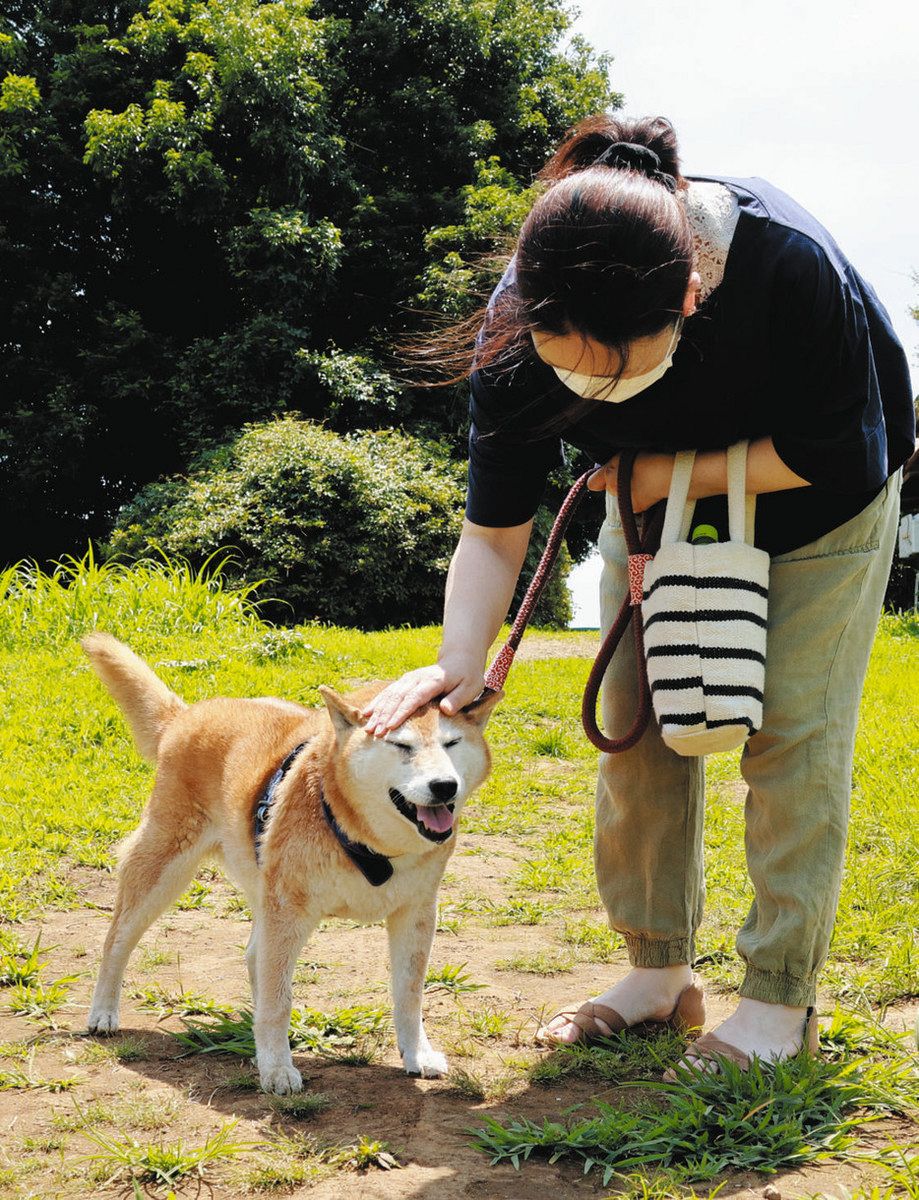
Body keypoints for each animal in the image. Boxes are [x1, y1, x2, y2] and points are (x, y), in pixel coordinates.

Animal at [84, 638, 503, 1099]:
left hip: (259, 882)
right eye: (401, 746)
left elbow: (409, 994)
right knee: (117, 940)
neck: (372, 844)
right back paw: (103, 1011)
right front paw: (276, 1068)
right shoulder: (288, 911)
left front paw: (417, 1054)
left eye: (451, 743)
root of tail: (186, 714)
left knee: (253, 957)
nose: (444, 786)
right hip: (164, 870)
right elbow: (278, 1000)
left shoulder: (415, 912)